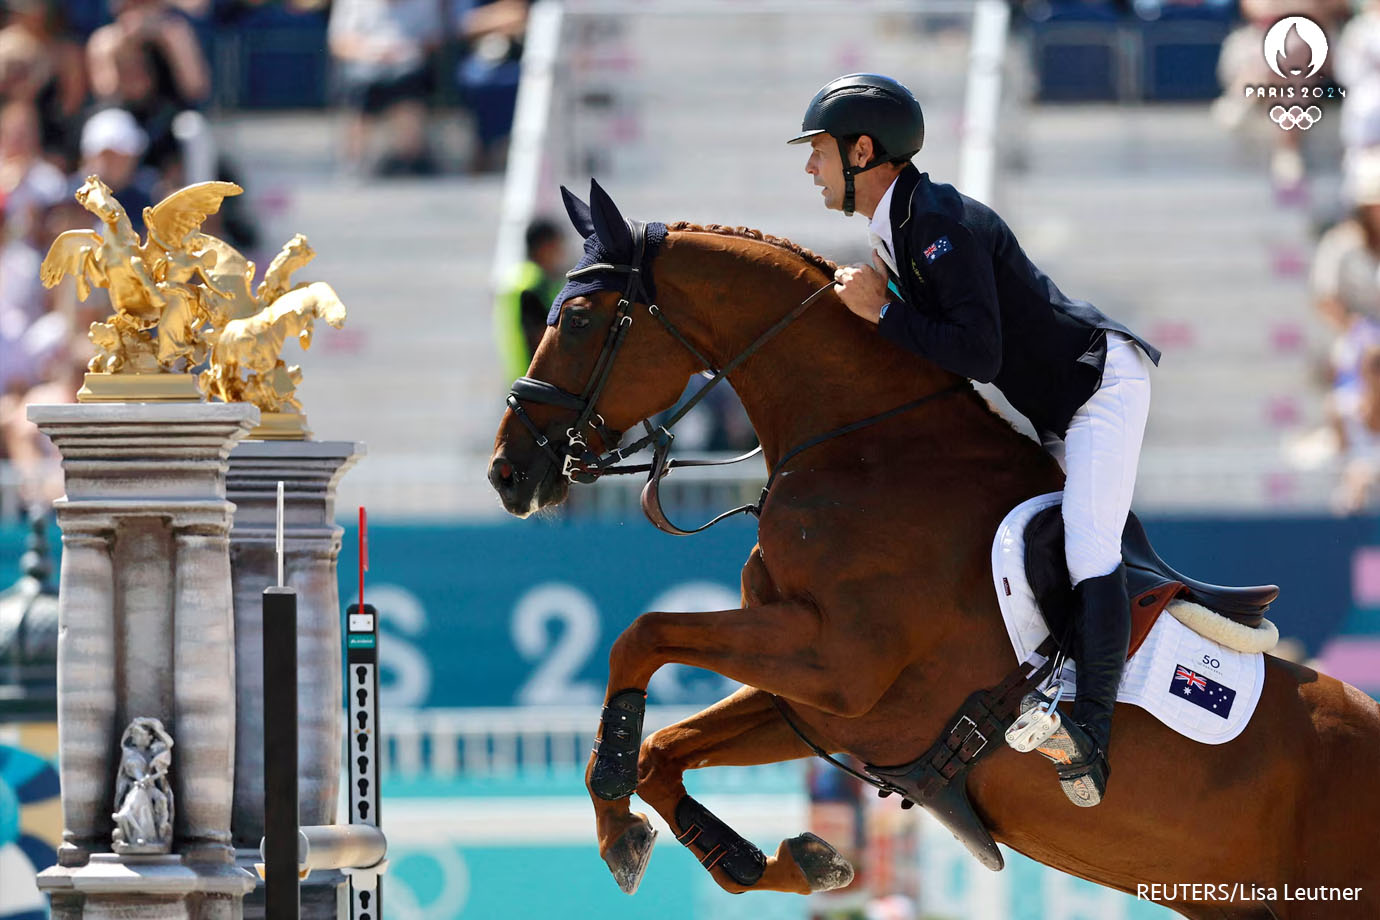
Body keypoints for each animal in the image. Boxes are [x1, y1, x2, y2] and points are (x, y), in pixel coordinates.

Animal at [488, 187, 1380, 920]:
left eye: (575, 320)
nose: (508, 472)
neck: (864, 446)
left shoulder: (835, 664)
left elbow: (640, 637)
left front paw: (615, 824)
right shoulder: (820, 702)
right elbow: (664, 750)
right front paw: (786, 860)